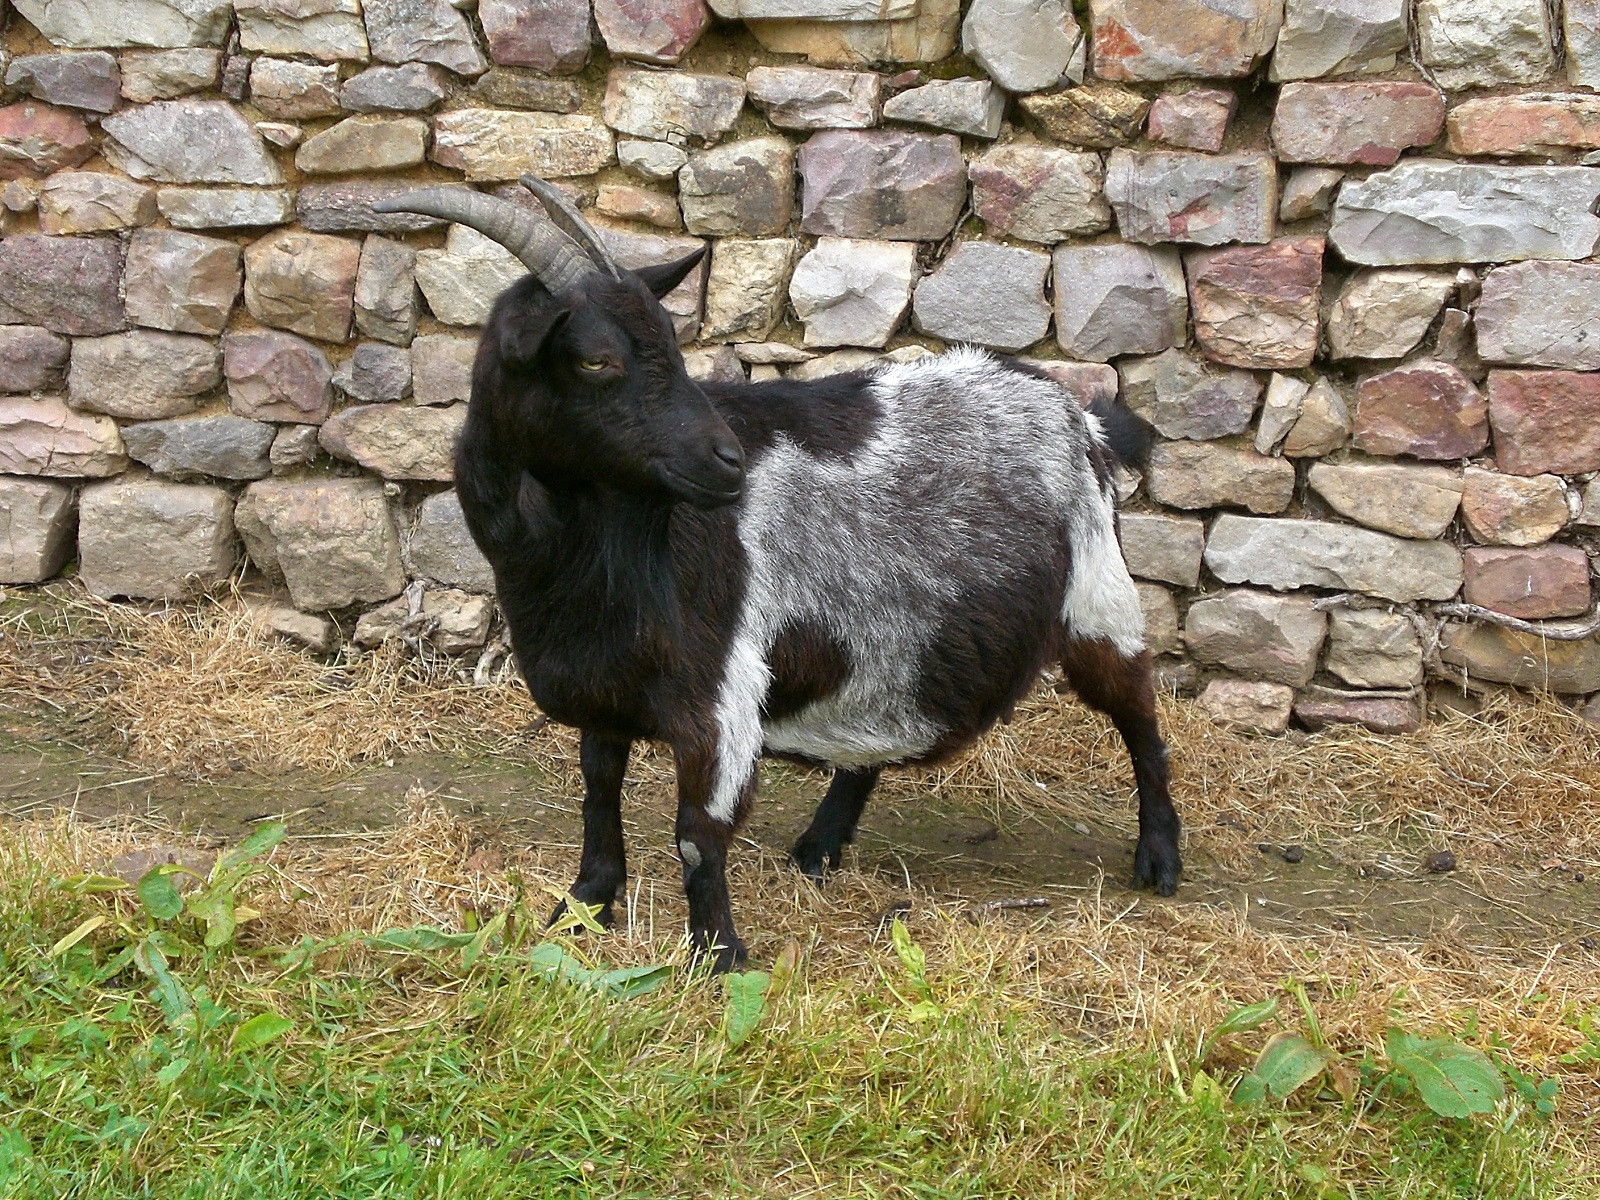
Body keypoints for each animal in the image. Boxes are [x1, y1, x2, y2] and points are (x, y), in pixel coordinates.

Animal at [371, 183, 1177, 972]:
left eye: (671, 343)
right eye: (595, 359)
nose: (727, 459)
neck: (583, 559)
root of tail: (1083, 416)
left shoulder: (722, 691)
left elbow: (697, 834)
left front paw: (720, 960)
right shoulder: (606, 681)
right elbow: (598, 795)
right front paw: (580, 911)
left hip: (1098, 594)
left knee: (1138, 712)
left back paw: (1160, 857)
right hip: (894, 636)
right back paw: (819, 847)